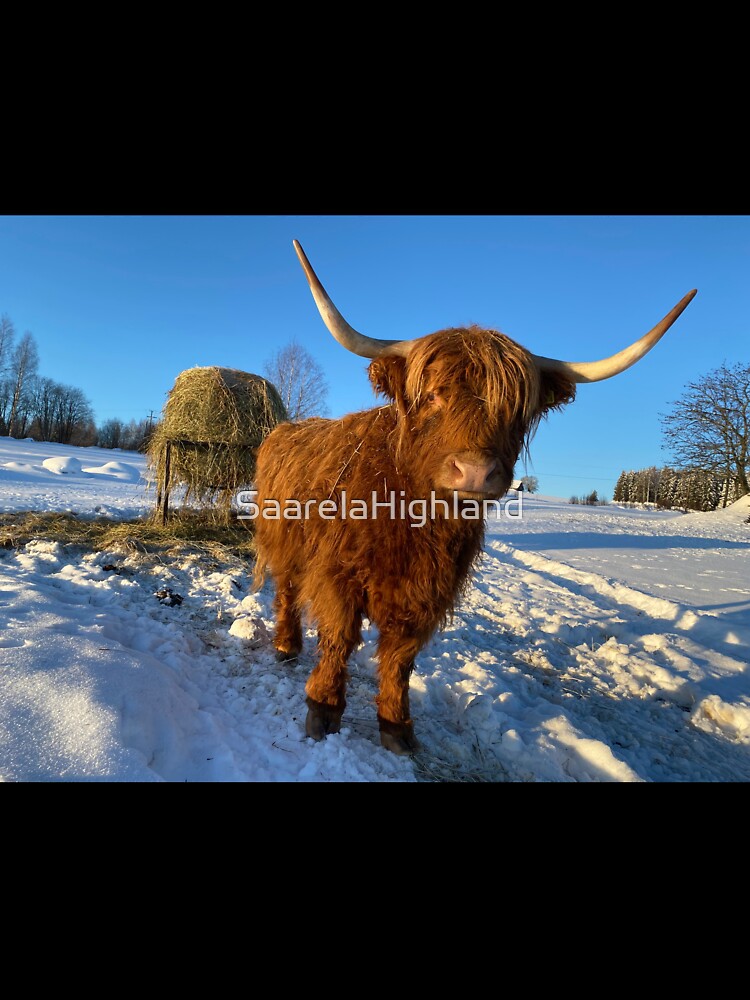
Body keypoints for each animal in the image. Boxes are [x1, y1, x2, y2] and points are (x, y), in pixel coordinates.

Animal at [251, 240, 696, 754]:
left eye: (516, 409)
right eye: (433, 395)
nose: (477, 472)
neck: (412, 518)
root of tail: (286, 427)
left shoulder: (428, 594)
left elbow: (399, 659)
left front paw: (397, 728)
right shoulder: (338, 574)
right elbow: (339, 639)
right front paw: (322, 710)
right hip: (283, 543)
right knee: (285, 589)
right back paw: (286, 646)